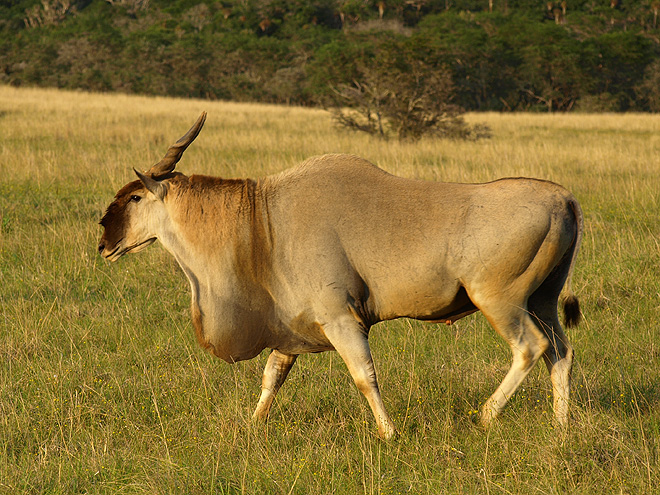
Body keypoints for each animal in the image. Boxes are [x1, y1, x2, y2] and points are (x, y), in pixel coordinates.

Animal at [99, 111, 584, 438]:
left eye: (137, 197)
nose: (104, 242)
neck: (263, 218)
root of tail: (563, 199)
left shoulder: (341, 320)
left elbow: (364, 376)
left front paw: (389, 433)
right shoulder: (292, 331)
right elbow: (272, 377)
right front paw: (253, 426)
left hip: (499, 302)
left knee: (531, 347)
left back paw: (485, 415)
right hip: (541, 302)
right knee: (561, 351)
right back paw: (560, 427)